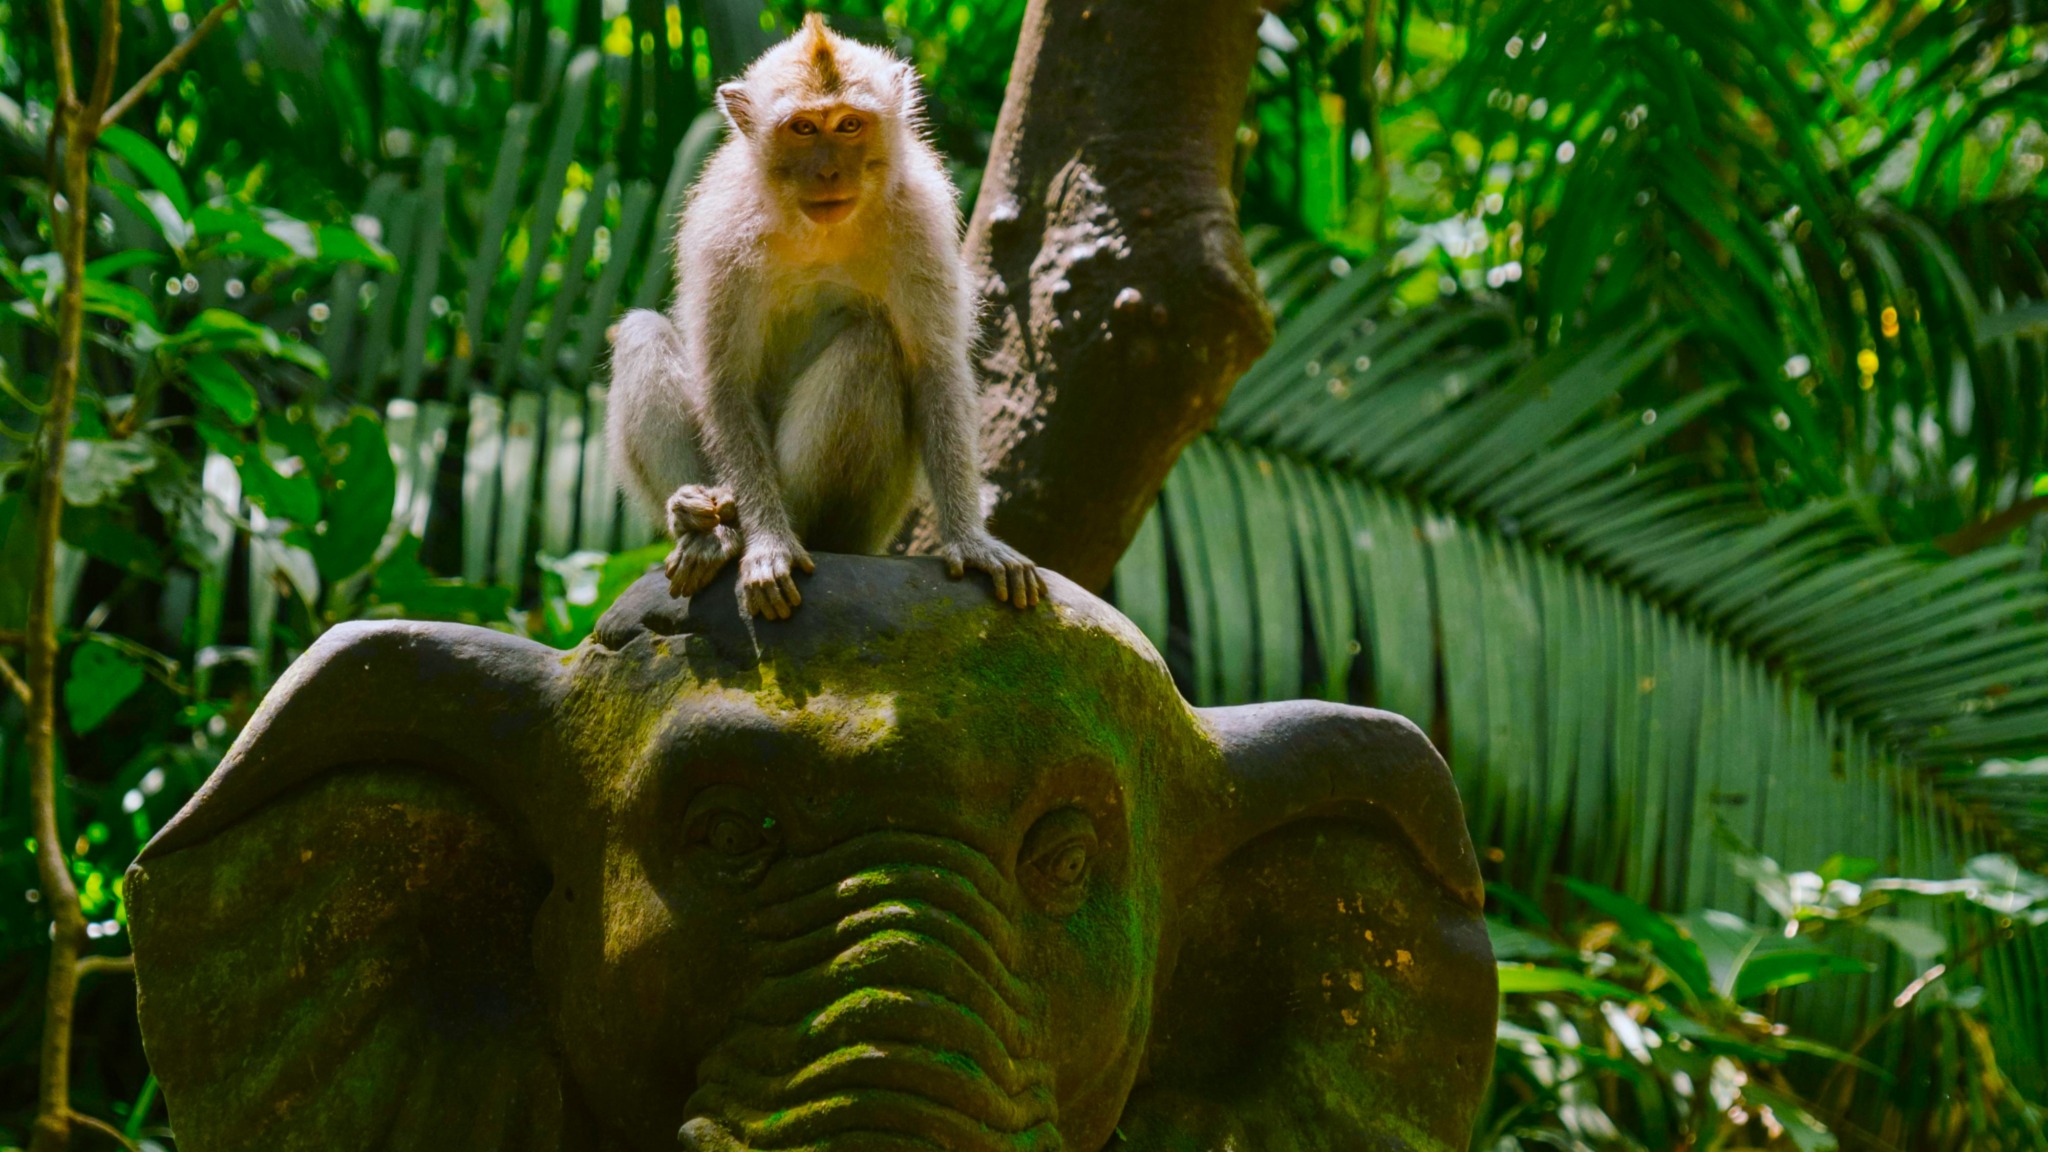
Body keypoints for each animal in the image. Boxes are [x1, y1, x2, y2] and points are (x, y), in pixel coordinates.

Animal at [606, 14, 1045, 621]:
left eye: (850, 124)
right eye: (804, 129)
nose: (832, 171)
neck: (819, 230)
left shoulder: (920, 221)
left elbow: (935, 367)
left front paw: (972, 540)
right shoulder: (722, 234)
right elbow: (724, 383)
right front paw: (767, 542)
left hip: (864, 522)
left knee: (871, 346)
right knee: (644, 333)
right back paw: (706, 527)